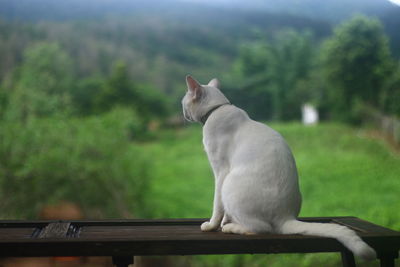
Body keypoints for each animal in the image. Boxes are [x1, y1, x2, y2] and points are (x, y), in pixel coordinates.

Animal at [183, 75, 376, 262]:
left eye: (183, 102)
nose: (182, 111)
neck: (217, 109)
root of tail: (286, 217)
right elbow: (224, 210)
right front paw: (224, 221)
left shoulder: (220, 171)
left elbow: (217, 205)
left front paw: (213, 225)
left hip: (230, 185)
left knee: (261, 228)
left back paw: (232, 228)